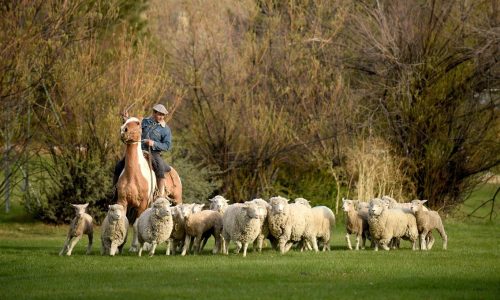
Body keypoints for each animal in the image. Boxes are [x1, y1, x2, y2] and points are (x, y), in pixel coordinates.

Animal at [117, 117, 184, 251]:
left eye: (137, 123)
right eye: (125, 120)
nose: (123, 130)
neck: (133, 175)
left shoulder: (142, 203)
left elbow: (136, 224)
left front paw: (134, 247)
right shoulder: (122, 200)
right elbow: (124, 221)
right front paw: (119, 246)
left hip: (177, 199)